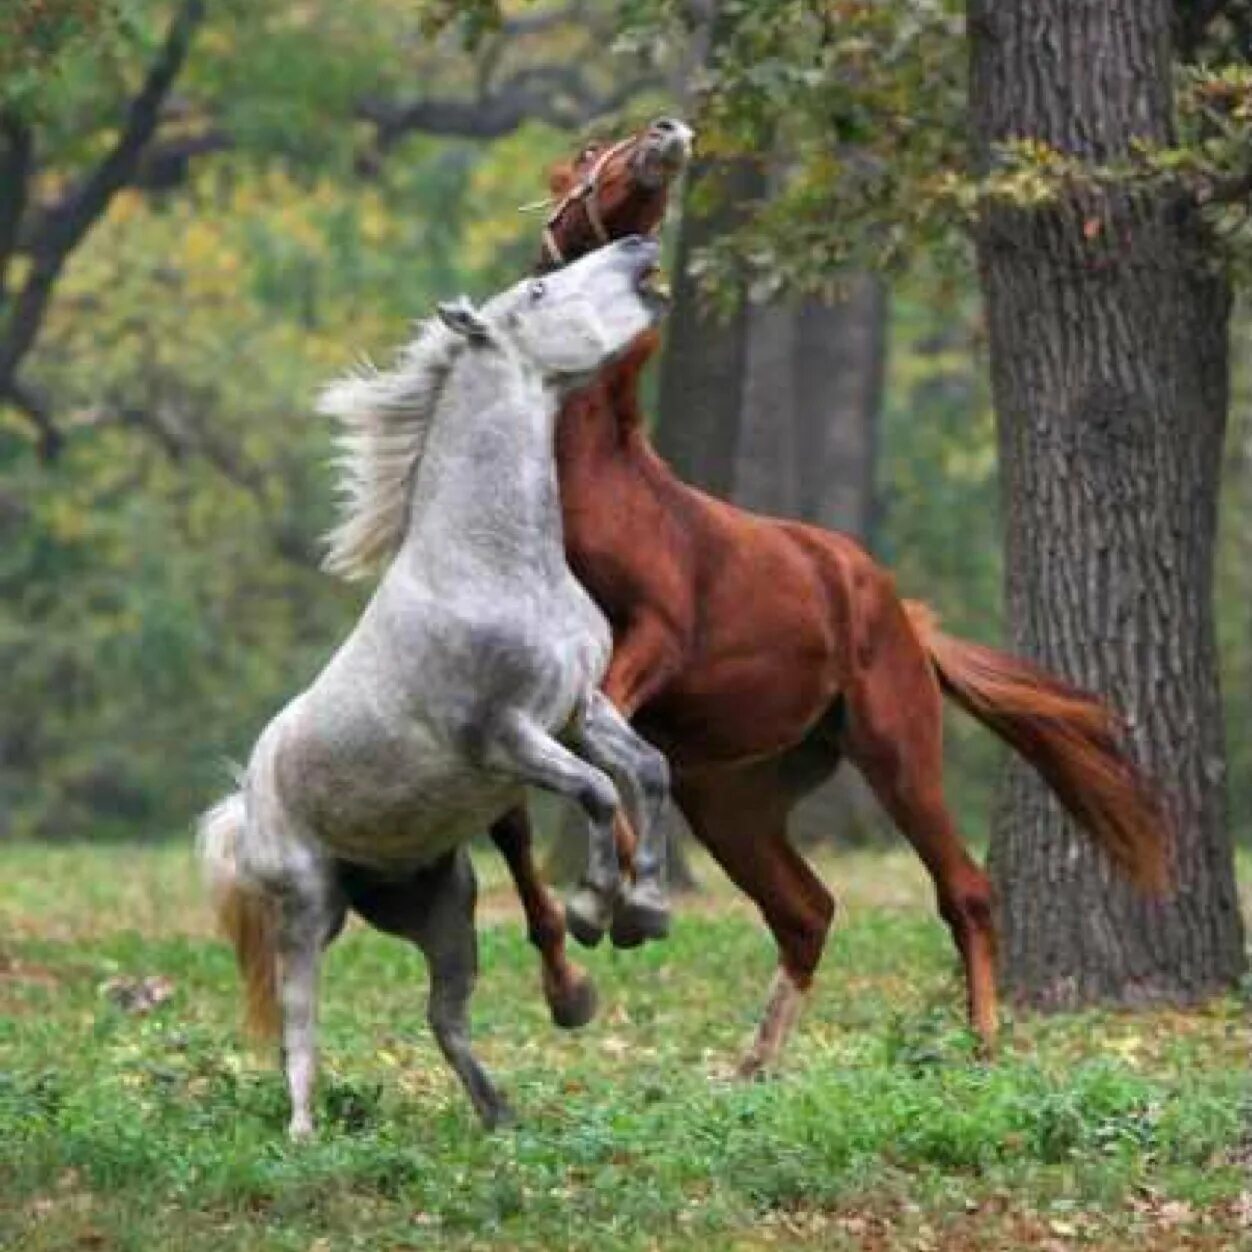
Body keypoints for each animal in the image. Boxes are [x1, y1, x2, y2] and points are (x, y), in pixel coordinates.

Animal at [200, 239, 676, 1141]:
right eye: (538, 288)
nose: (639, 247)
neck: (494, 566)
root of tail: (245, 802)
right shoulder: (509, 735)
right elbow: (597, 793)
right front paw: (597, 908)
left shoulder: (579, 708)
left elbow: (650, 771)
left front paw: (648, 907)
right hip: (307, 911)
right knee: (299, 1027)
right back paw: (304, 1135)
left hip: (446, 909)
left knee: (444, 1017)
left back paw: (501, 1114)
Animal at [490, 119, 1171, 1076]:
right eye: (590, 154)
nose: (670, 133)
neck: (594, 481)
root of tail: (901, 612)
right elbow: (524, 812)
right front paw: (573, 966)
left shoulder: (655, 636)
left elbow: (604, 747)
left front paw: (612, 906)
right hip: (734, 798)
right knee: (807, 911)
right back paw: (752, 1066)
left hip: (896, 750)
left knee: (962, 890)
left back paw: (982, 1043)